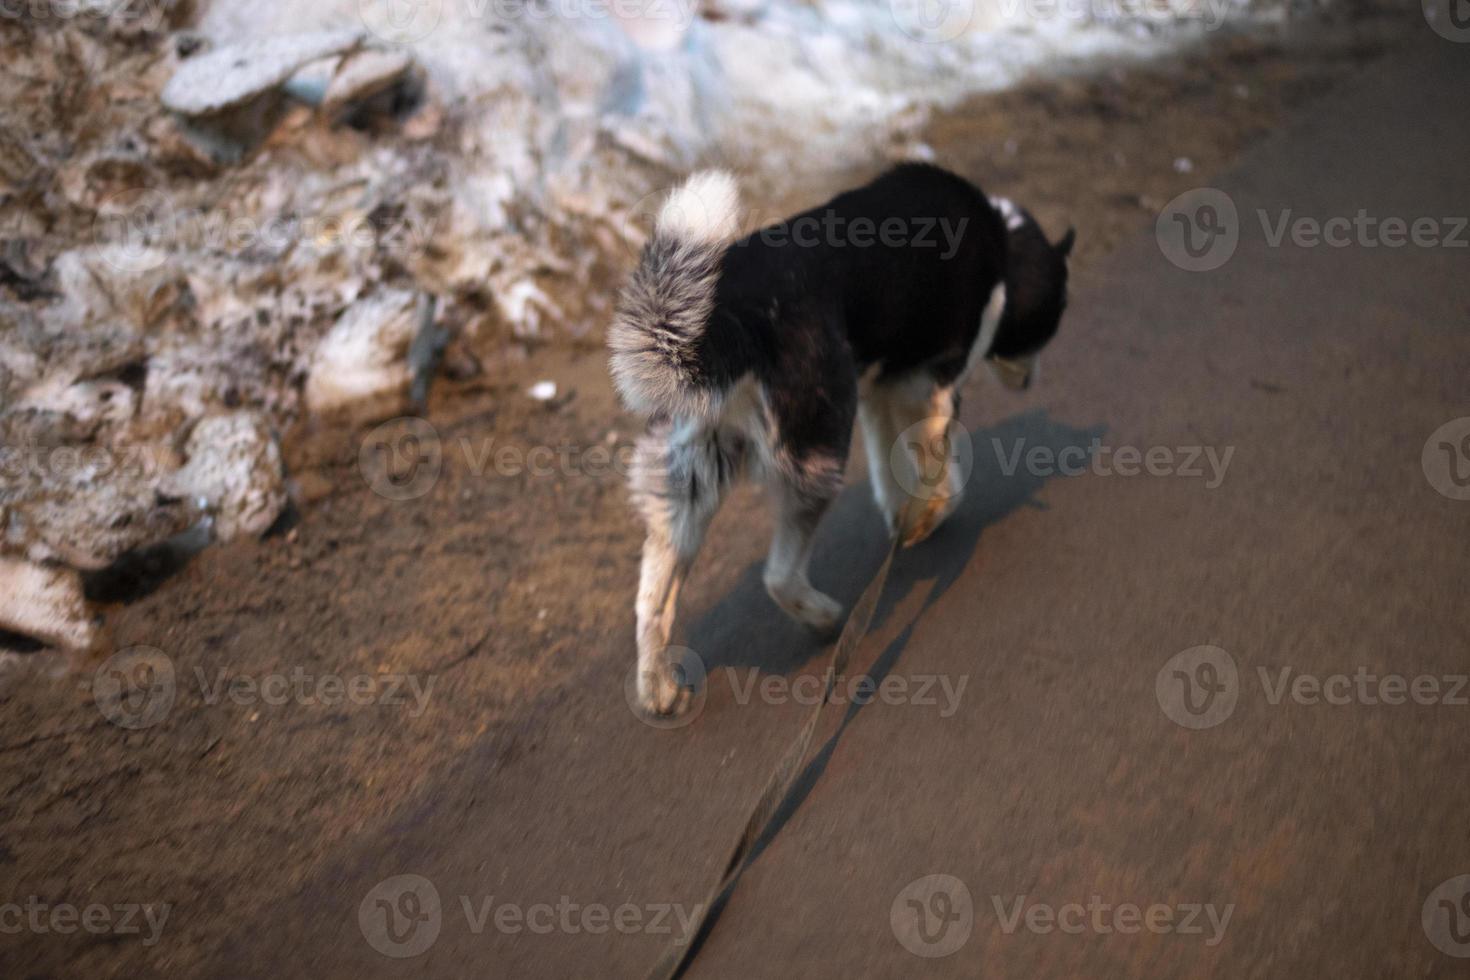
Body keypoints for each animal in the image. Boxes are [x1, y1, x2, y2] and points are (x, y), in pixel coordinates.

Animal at [602, 159, 1076, 714]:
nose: (1031, 382)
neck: (1004, 242)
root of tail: (729, 318)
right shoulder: (929, 391)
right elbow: (945, 479)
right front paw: (927, 518)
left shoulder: (880, 395)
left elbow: (891, 471)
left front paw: (904, 520)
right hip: (818, 453)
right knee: (778, 575)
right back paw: (827, 619)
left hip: (693, 479)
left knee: (651, 601)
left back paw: (659, 689)